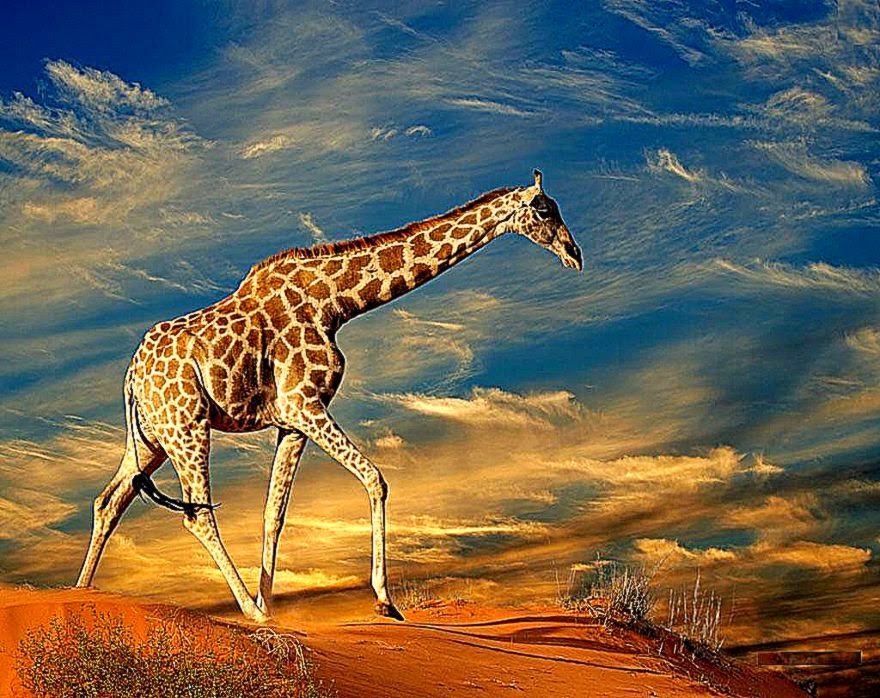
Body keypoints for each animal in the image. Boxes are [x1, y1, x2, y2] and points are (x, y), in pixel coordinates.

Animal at [76, 169, 582, 622]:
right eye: (544, 209)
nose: (574, 254)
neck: (335, 303)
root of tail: (131, 376)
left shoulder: (290, 421)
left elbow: (273, 513)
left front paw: (271, 607)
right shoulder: (305, 403)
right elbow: (376, 478)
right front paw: (383, 601)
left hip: (152, 438)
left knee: (109, 501)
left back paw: (81, 594)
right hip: (187, 426)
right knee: (196, 514)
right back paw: (247, 614)